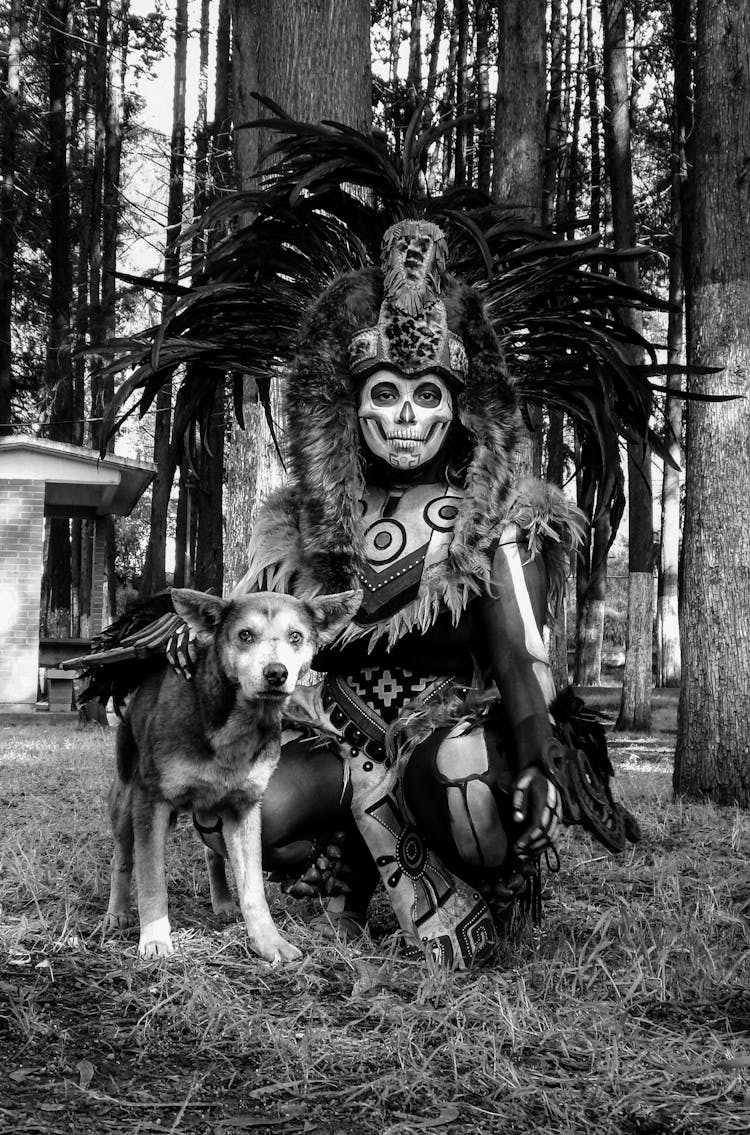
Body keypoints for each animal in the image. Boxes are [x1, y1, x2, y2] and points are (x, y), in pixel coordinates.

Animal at [103, 590, 360, 962]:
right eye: (245, 635)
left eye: (296, 637)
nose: (276, 673)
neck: (235, 725)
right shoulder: (152, 801)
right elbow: (151, 878)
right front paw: (155, 939)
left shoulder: (244, 808)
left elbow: (253, 890)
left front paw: (269, 942)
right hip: (126, 798)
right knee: (122, 857)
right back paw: (117, 912)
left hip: (213, 808)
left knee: (212, 852)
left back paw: (222, 902)